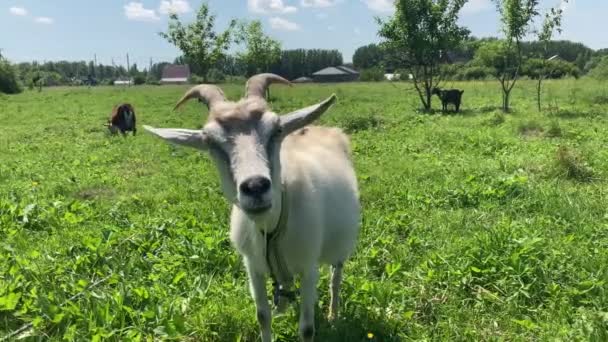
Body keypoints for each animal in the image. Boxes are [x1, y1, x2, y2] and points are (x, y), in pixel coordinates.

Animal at [142, 73, 360, 340]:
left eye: (277, 129)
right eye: (210, 141)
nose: (255, 186)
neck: (272, 228)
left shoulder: (308, 267)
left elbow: (307, 328)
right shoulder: (253, 267)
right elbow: (262, 316)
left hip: (340, 244)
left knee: (335, 277)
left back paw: (333, 315)